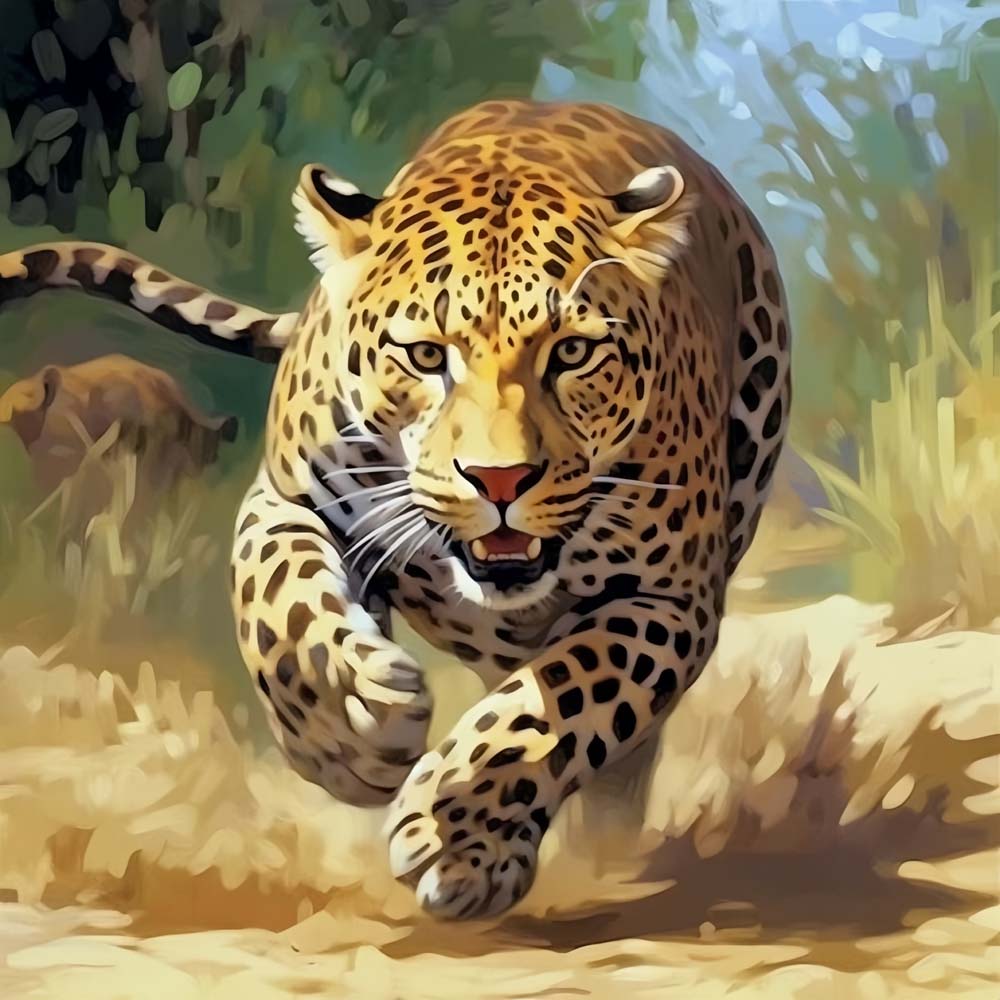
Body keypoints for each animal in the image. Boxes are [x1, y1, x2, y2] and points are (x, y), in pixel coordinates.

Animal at [0, 99, 791, 920]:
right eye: (426, 356)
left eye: (572, 353)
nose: (500, 479)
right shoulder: (285, 500)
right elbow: (282, 611)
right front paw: (352, 732)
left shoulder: (669, 596)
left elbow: (561, 703)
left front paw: (455, 837)